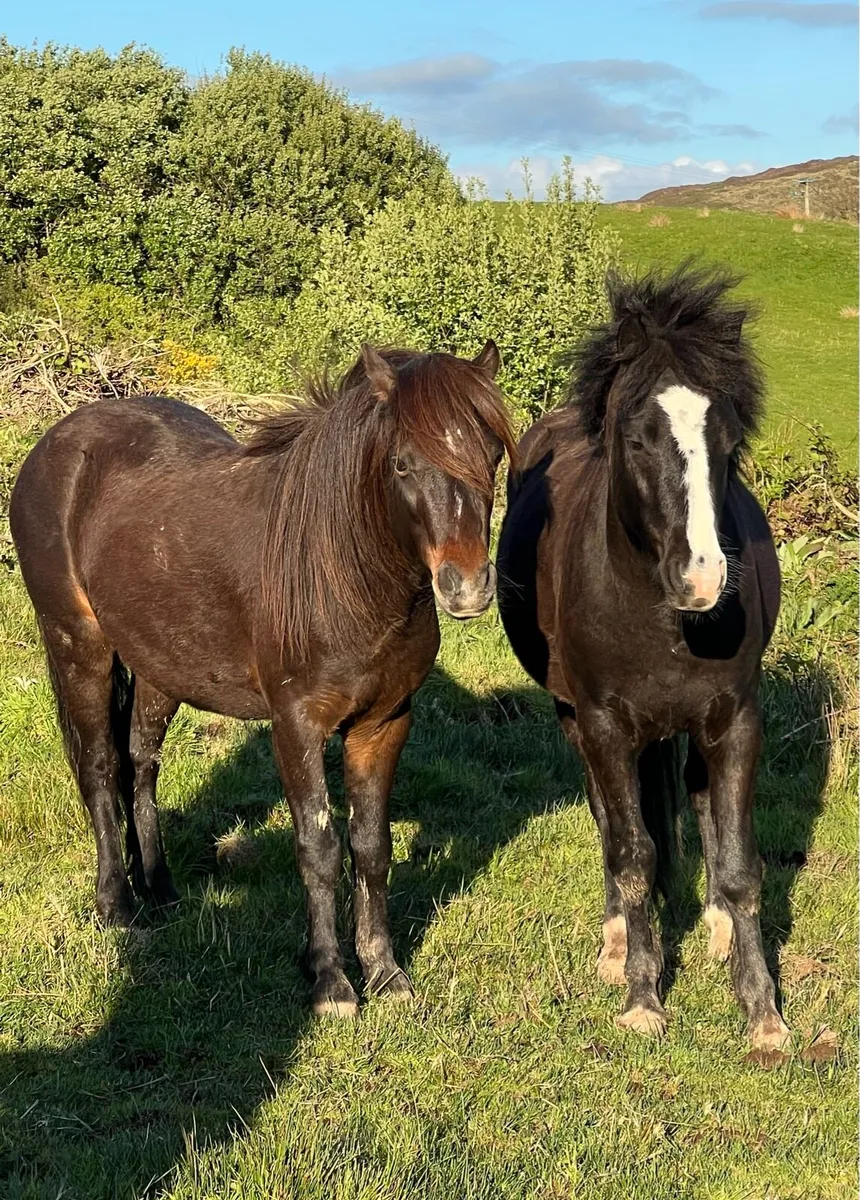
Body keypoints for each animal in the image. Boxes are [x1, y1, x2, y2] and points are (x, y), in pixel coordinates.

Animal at [10, 341, 514, 1018]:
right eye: (404, 464)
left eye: (491, 456)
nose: (467, 588)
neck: (340, 572)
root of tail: (55, 444)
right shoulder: (295, 726)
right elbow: (319, 848)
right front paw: (330, 981)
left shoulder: (383, 724)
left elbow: (371, 847)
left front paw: (385, 973)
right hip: (78, 646)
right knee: (99, 768)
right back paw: (116, 905)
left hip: (161, 666)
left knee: (141, 764)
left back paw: (161, 888)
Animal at [497, 265, 791, 1061]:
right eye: (637, 439)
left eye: (729, 440)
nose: (703, 579)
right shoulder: (603, 724)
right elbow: (632, 857)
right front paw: (642, 997)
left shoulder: (736, 721)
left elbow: (740, 866)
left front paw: (762, 1013)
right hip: (577, 720)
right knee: (611, 824)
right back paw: (613, 945)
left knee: (695, 800)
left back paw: (715, 930)